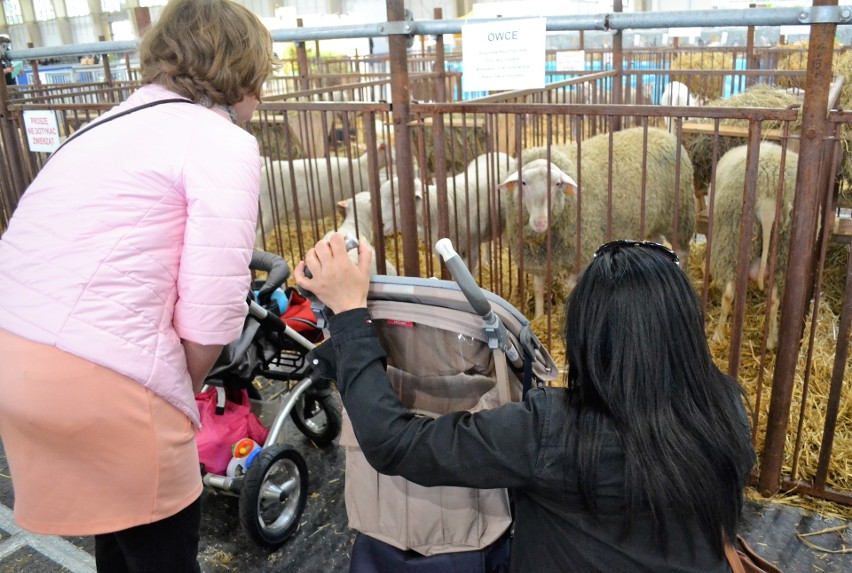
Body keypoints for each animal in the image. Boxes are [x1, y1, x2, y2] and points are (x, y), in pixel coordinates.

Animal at [502, 127, 696, 318]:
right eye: (523, 183)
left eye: (557, 184)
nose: (540, 222)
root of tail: (664, 133)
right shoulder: (537, 261)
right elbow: (538, 287)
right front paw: (539, 317)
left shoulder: (578, 255)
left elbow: (569, 289)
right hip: (656, 219)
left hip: (680, 215)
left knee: (683, 251)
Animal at [708, 141, 796, 350]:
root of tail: (768, 200)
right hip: (781, 255)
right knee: (774, 299)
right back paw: (771, 341)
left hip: (730, 243)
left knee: (728, 294)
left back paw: (718, 335)